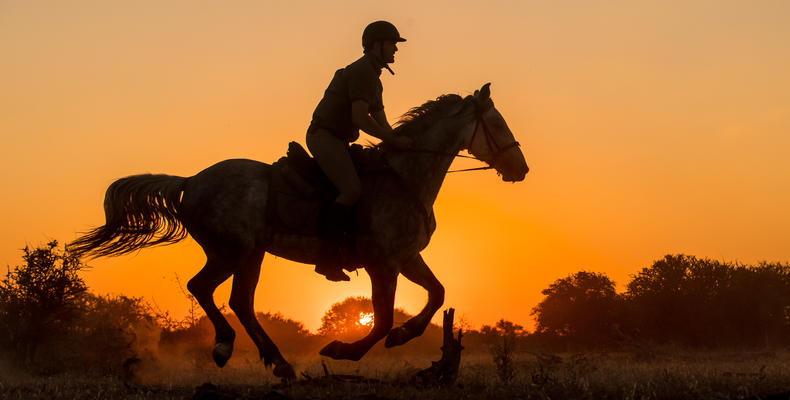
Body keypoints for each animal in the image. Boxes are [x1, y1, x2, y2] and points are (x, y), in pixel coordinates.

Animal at [68, 82, 524, 378]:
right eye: (499, 124)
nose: (521, 169)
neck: (404, 176)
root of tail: (190, 181)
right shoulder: (383, 263)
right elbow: (379, 319)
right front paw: (344, 350)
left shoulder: (407, 257)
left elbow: (436, 294)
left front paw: (403, 335)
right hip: (232, 251)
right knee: (206, 289)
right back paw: (228, 346)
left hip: (249, 254)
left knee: (238, 301)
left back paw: (278, 363)